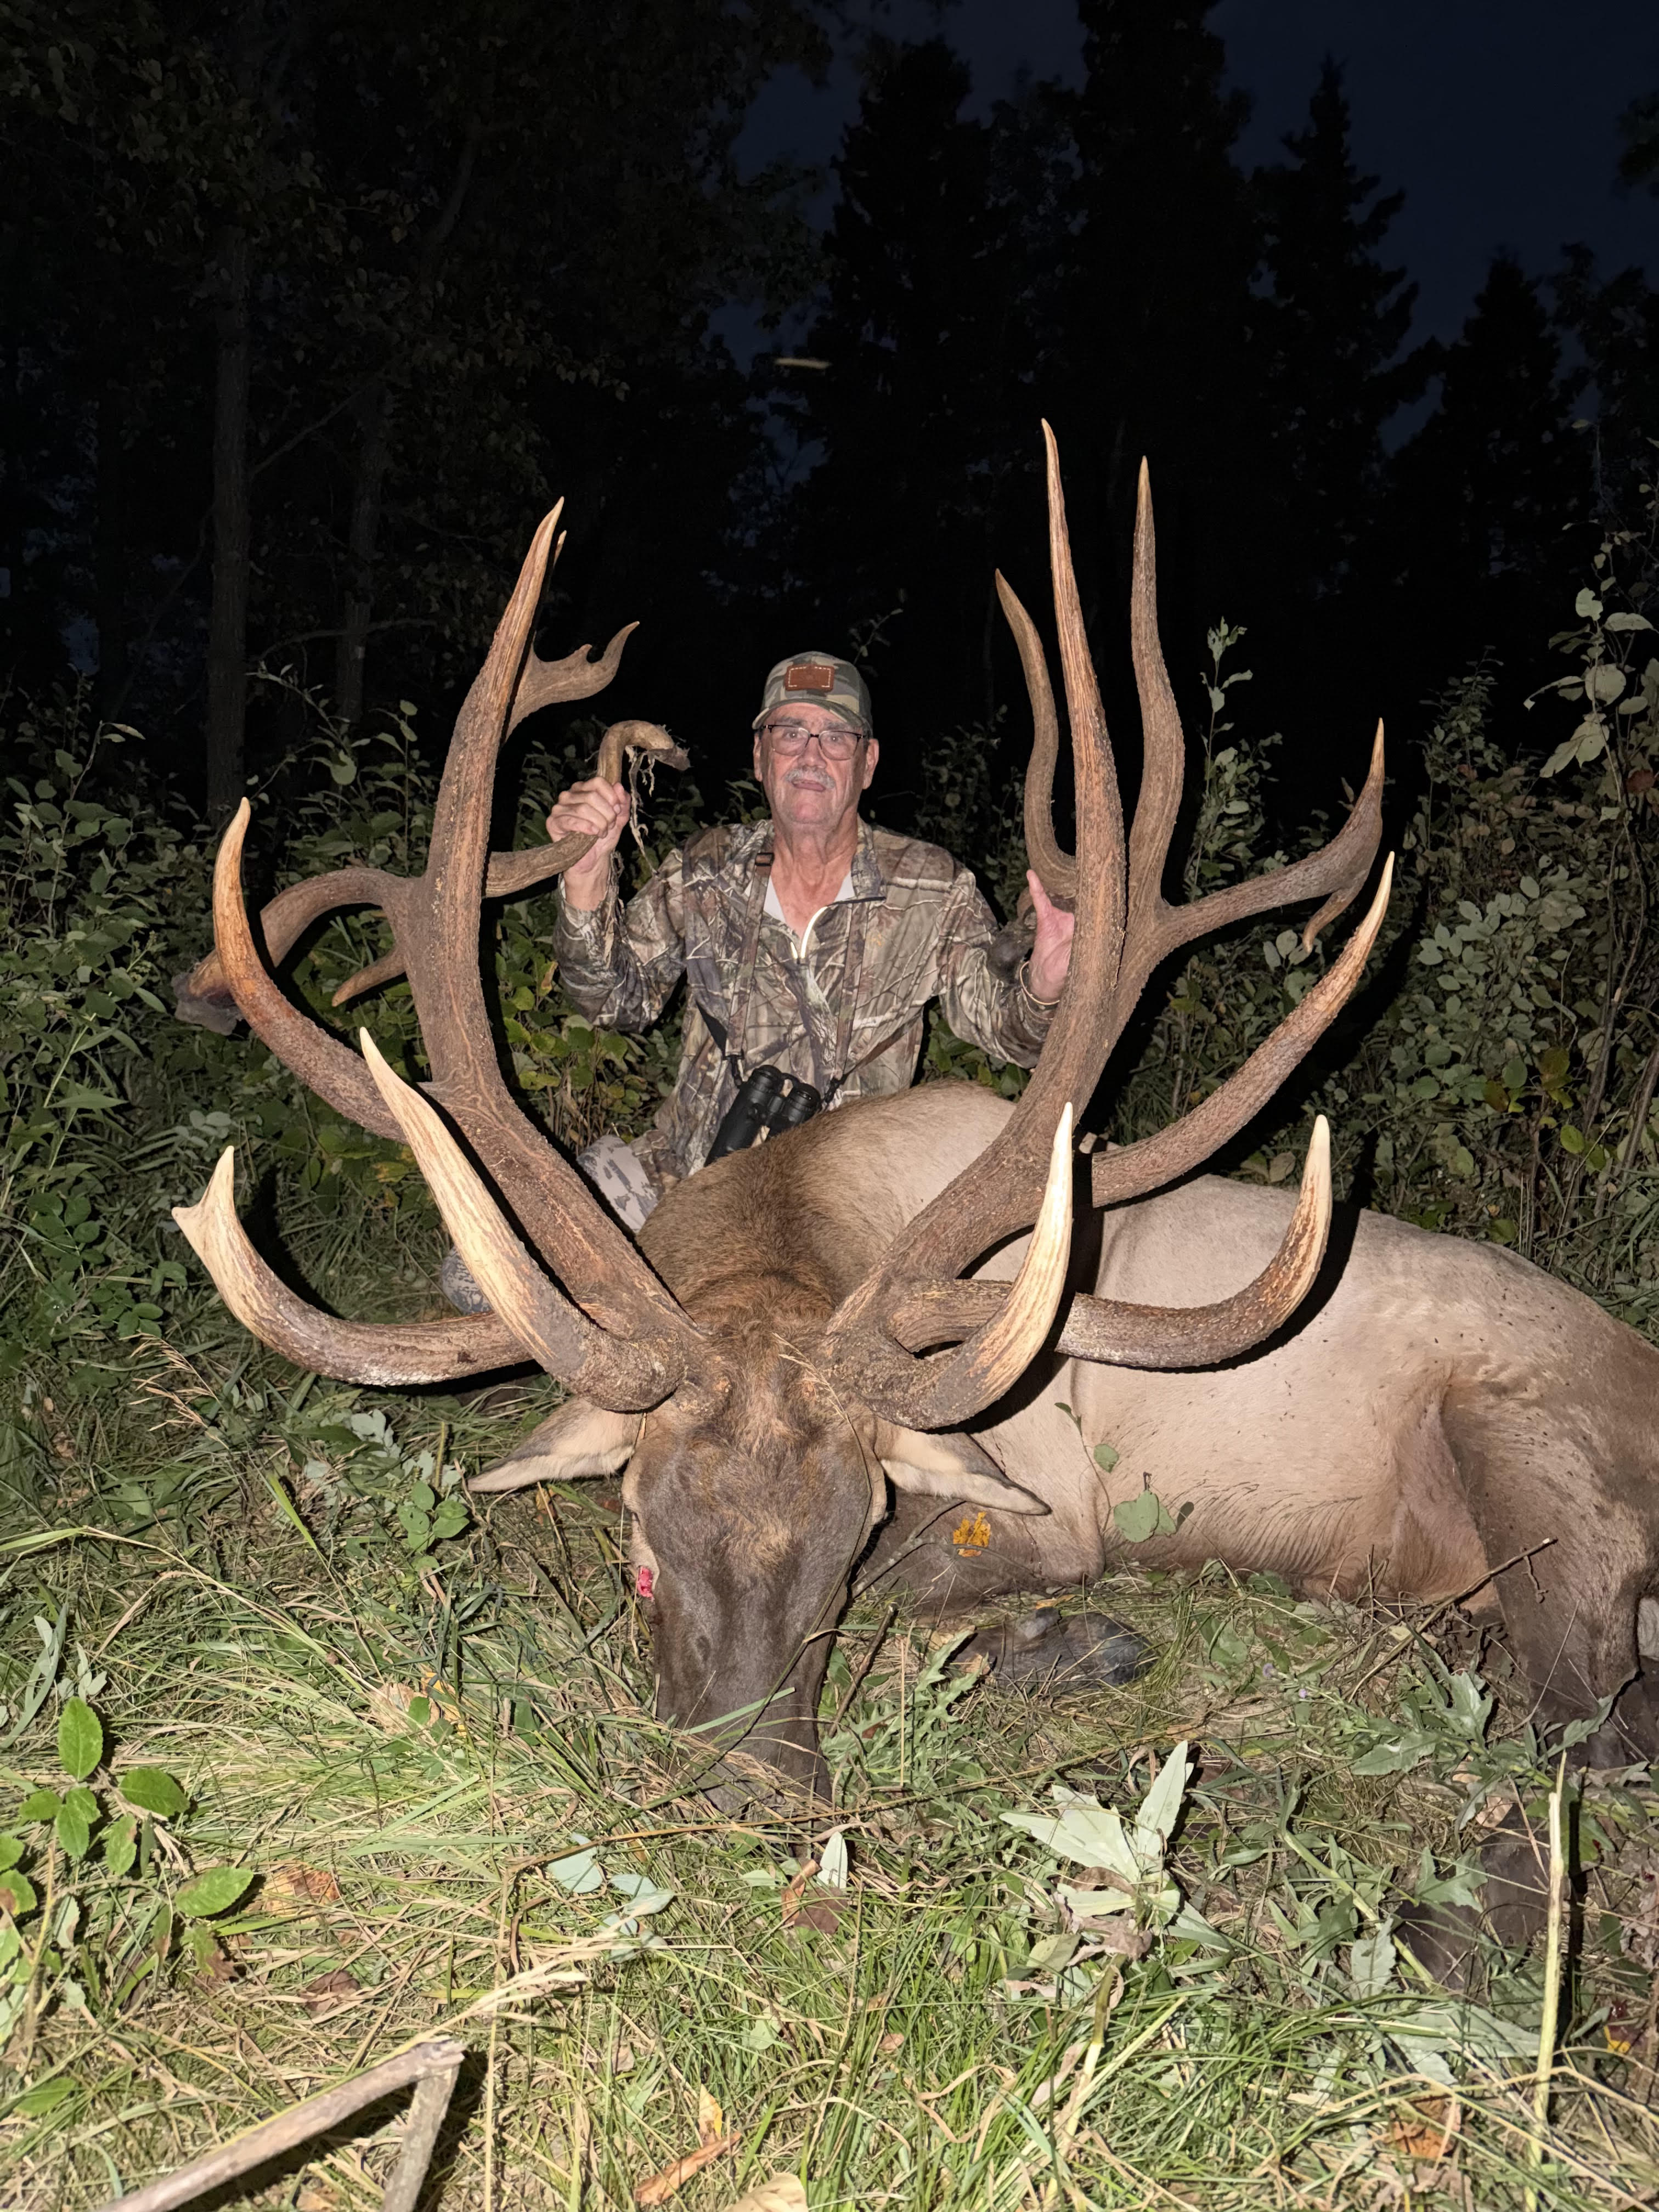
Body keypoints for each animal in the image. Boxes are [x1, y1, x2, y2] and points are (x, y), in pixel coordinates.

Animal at [172, 432, 1659, 1979]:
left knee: (1588, 1741)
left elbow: (957, 1587)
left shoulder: (1052, 1493)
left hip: (1535, 1443)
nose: (748, 1806)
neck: (805, 1210)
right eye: (639, 1560)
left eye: (841, 1557)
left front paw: (1069, 1645)